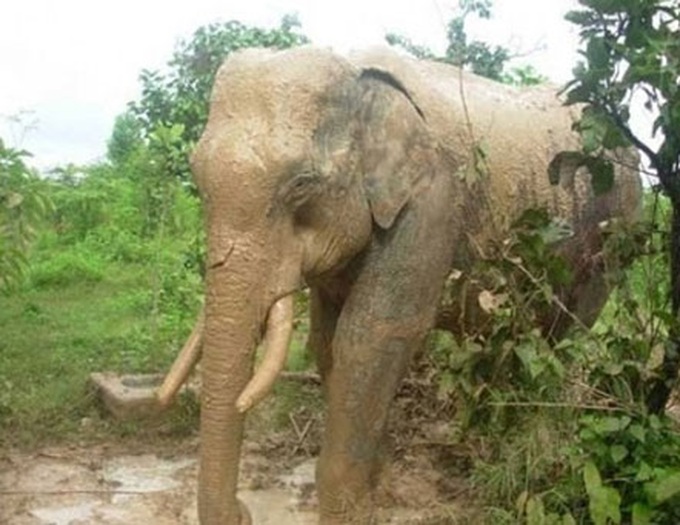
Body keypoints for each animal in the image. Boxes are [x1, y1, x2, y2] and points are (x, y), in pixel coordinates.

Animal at [155, 46, 644, 524]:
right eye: (196, 178)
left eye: (301, 185)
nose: (243, 513)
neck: (356, 73)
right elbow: (328, 341)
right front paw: (378, 485)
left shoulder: (432, 200)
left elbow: (373, 334)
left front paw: (349, 512)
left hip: (611, 237)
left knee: (564, 331)